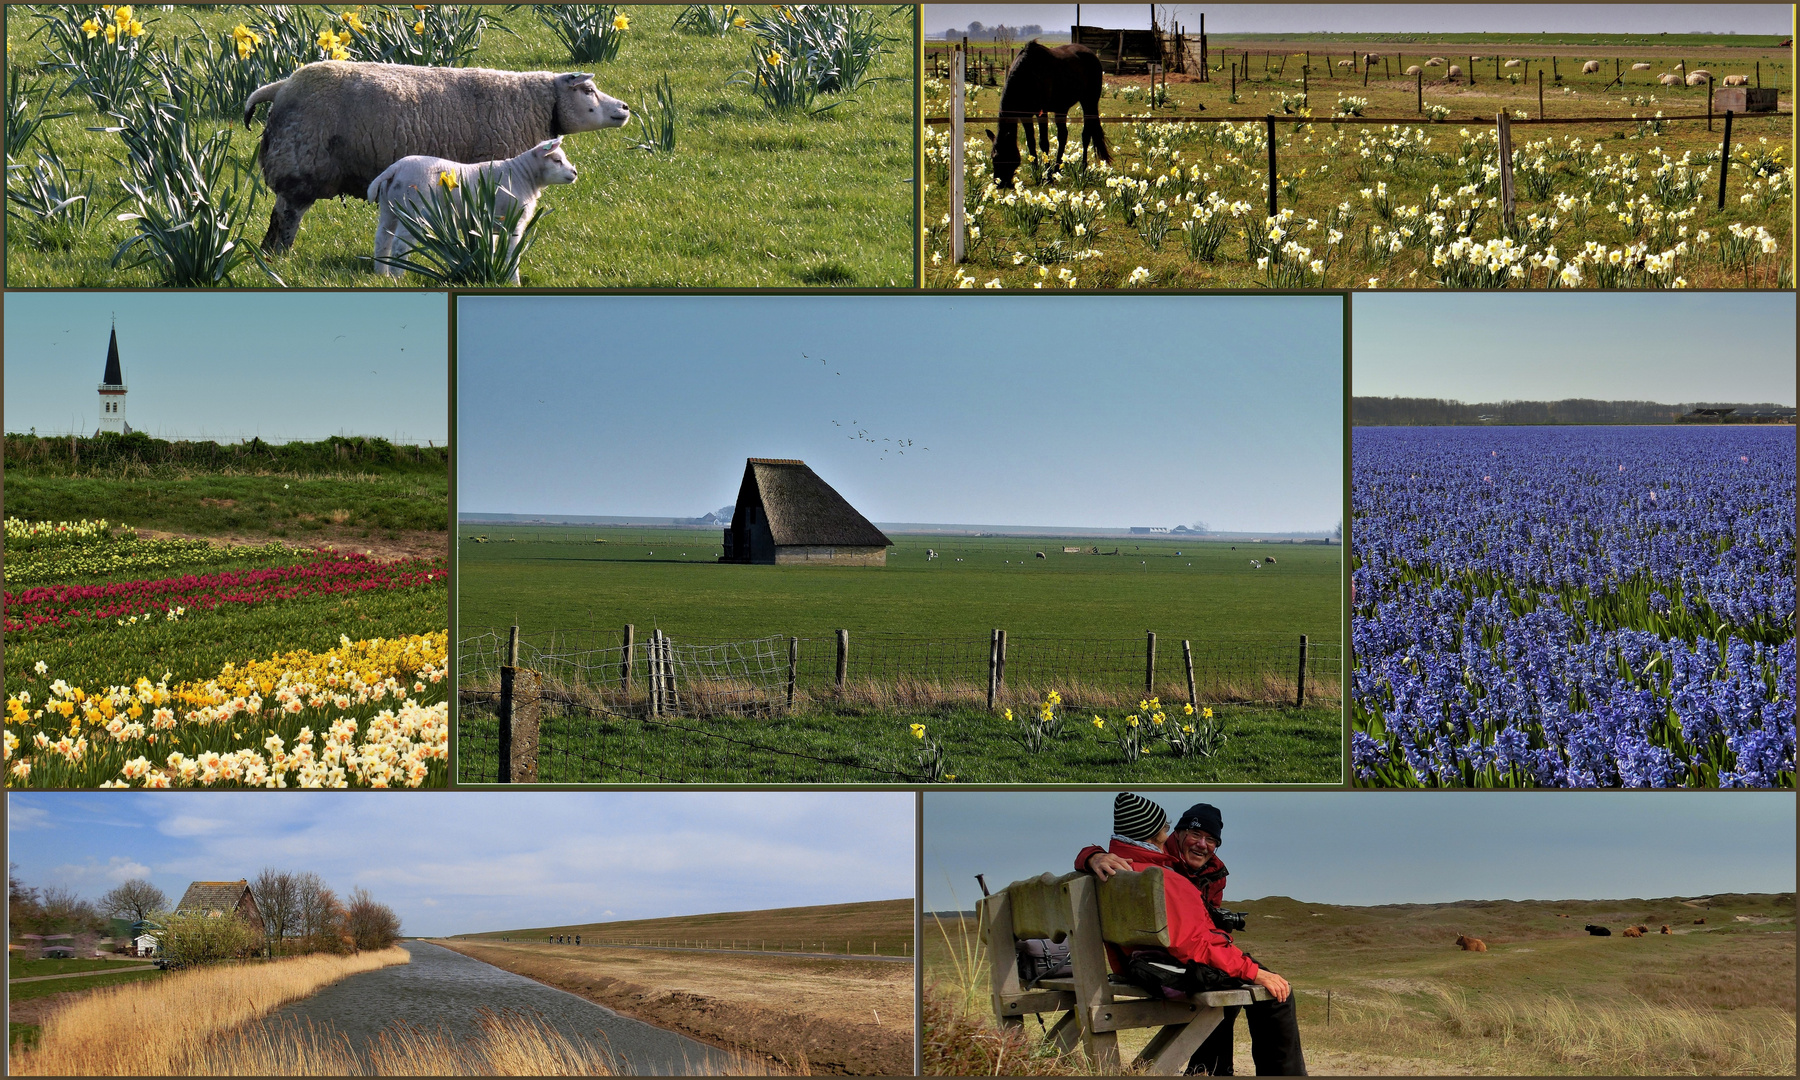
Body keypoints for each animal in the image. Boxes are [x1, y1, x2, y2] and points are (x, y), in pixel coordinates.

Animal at [243, 60, 630, 250]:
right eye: (588, 89)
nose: (625, 108)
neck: (535, 104)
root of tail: (281, 86)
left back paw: (267, 254)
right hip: (300, 165)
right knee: (287, 217)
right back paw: (279, 254)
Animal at [370, 136, 579, 282]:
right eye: (557, 160)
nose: (575, 173)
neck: (523, 176)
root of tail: (395, 168)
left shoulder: (491, 223)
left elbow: (492, 249)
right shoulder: (514, 224)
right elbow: (513, 255)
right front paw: (514, 281)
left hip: (389, 209)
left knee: (382, 239)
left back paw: (381, 274)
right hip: (413, 210)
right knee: (400, 244)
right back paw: (398, 276)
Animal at [986, 40, 1108, 186]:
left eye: (1005, 157)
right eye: (993, 158)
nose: (998, 183)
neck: (1026, 76)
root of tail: (1092, 55)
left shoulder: (1041, 113)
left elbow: (1043, 142)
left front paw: (1047, 176)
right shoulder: (1025, 115)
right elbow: (1031, 142)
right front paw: (1036, 172)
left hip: (1088, 102)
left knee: (1085, 135)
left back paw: (1082, 169)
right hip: (1061, 108)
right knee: (1063, 135)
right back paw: (1057, 169)